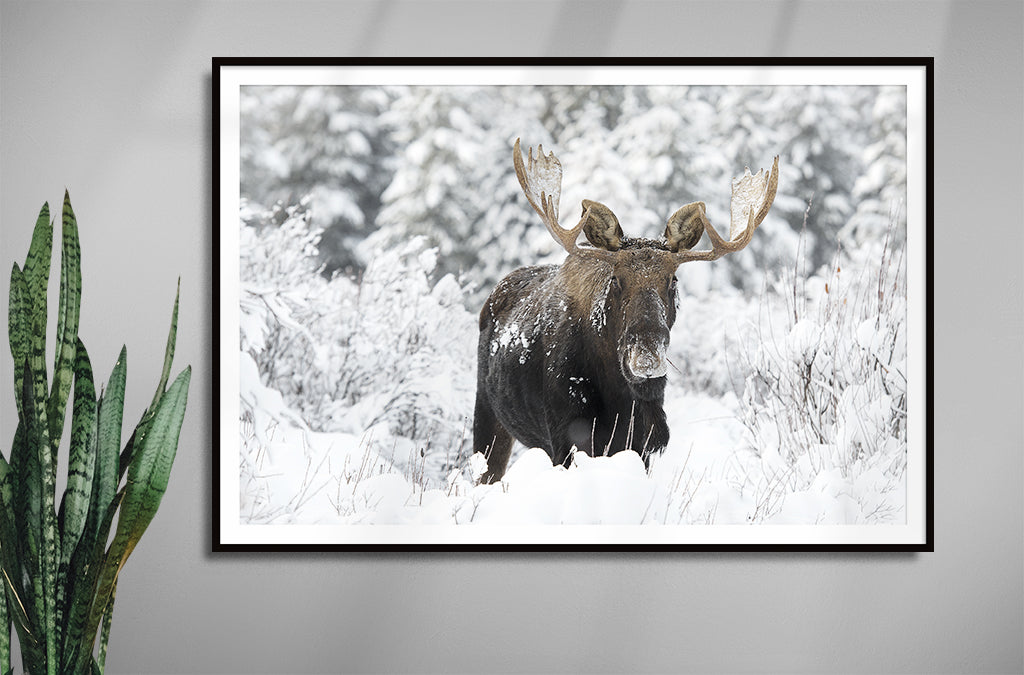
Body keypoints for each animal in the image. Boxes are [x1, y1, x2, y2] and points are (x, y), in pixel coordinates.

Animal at [474, 138, 778, 484]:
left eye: (673, 280)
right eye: (616, 279)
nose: (646, 356)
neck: (620, 395)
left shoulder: (643, 442)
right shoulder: (565, 437)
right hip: (487, 416)